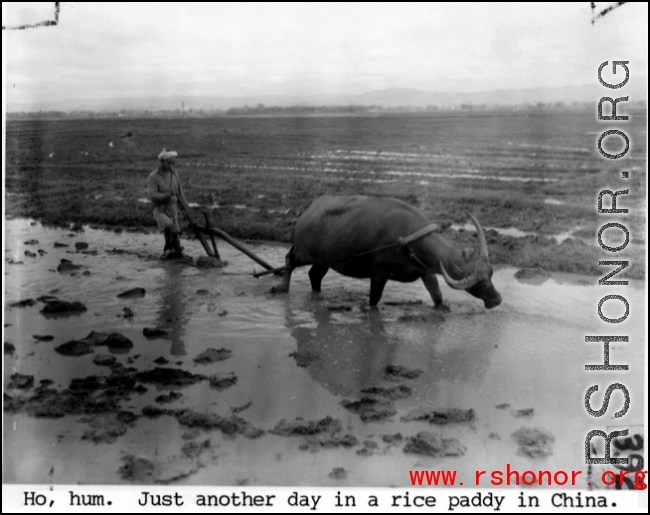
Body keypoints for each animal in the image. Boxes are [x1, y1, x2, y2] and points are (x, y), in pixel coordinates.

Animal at [270, 195, 502, 310]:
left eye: (491, 275)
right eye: (480, 284)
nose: (498, 299)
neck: (409, 239)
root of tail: (306, 213)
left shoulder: (426, 272)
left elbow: (437, 296)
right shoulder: (379, 273)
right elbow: (374, 300)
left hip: (325, 259)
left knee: (314, 275)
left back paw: (317, 295)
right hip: (303, 252)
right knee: (289, 259)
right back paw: (281, 287)